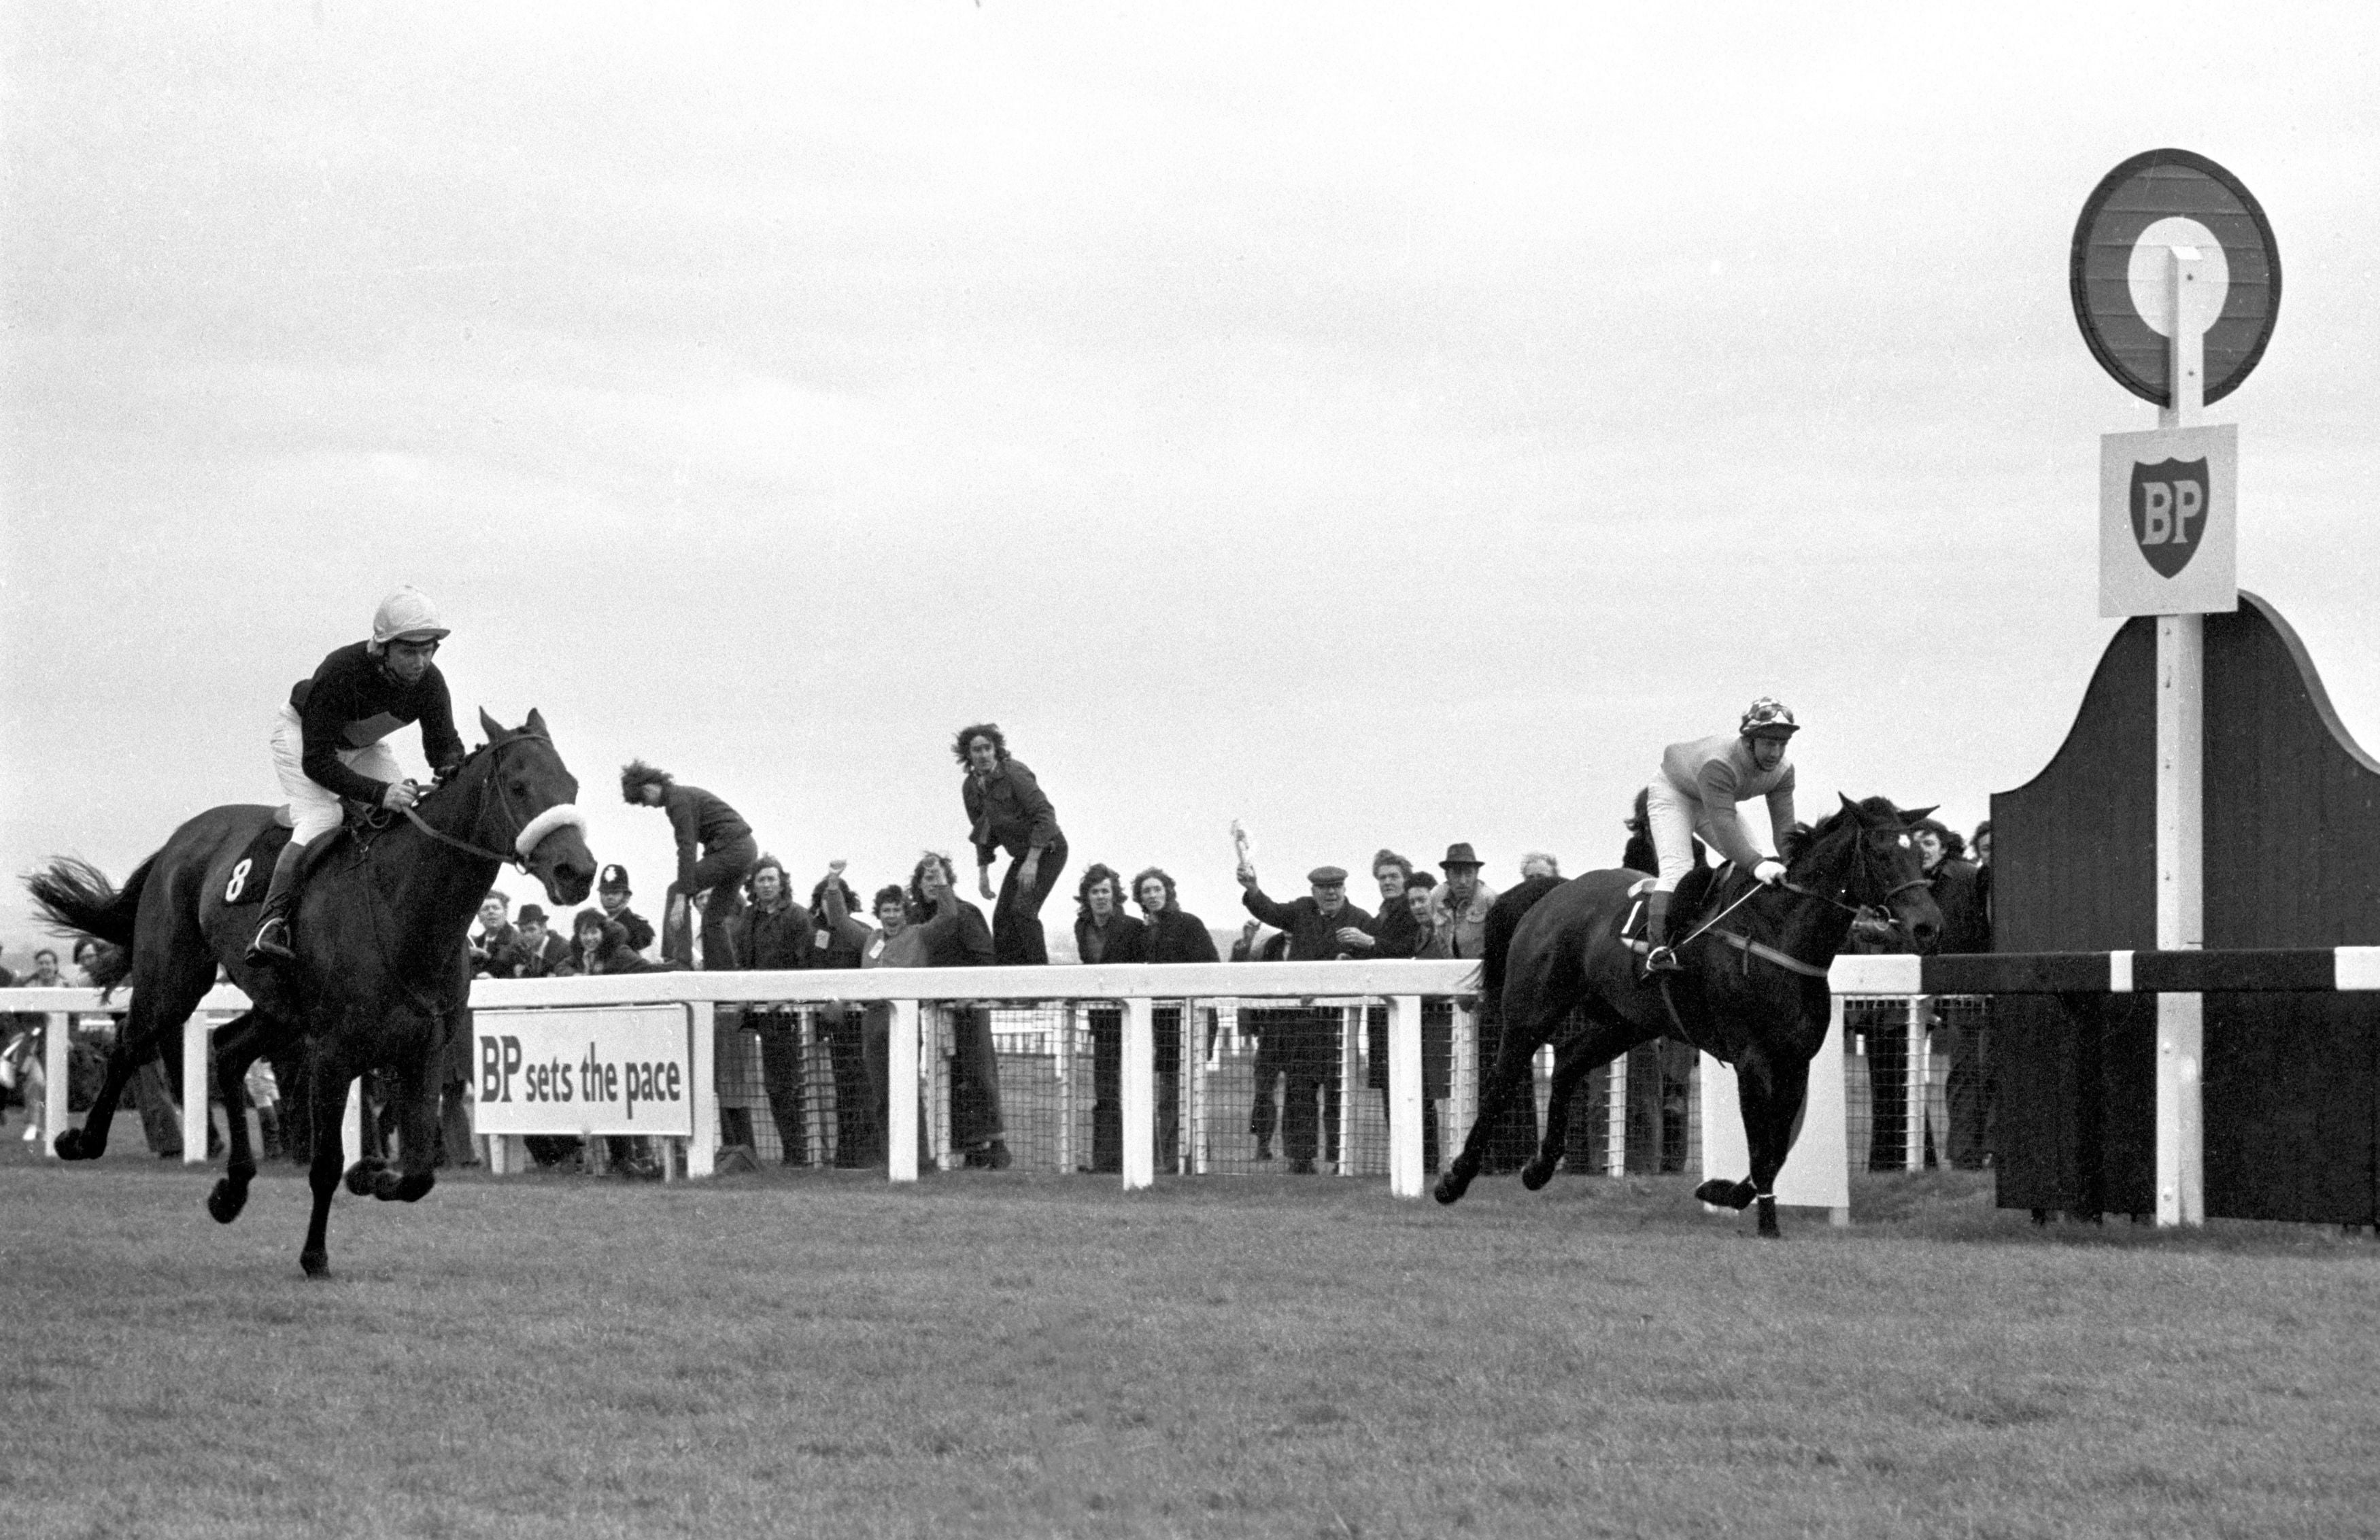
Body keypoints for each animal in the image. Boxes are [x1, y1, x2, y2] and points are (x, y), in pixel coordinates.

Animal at [28, 709, 595, 1276]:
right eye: (519, 786)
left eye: (572, 784)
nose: (579, 872)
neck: (404, 907)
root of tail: (177, 841)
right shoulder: (333, 1053)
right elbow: (327, 1163)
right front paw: (315, 1253)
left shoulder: (425, 1050)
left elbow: (419, 1173)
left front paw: (372, 1174)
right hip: (175, 980)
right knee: (132, 1039)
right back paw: (80, 1139)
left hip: (281, 1012)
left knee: (227, 1049)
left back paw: (231, 1189)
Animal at [1438, 800, 1942, 1237]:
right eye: (1881, 851)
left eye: (1919, 853)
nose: (1928, 925)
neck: (1778, 933)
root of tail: (1553, 891)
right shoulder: (1753, 1058)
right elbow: (1762, 1149)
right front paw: (1766, 1224)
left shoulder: (1796, 1060)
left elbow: (1777, 1148)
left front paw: (1722, 1191)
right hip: (1531, 1009)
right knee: (1501, 1084)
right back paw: (1454, 1180)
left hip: (1627, 1021)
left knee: (1566, 1062)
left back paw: (1539, 1167)